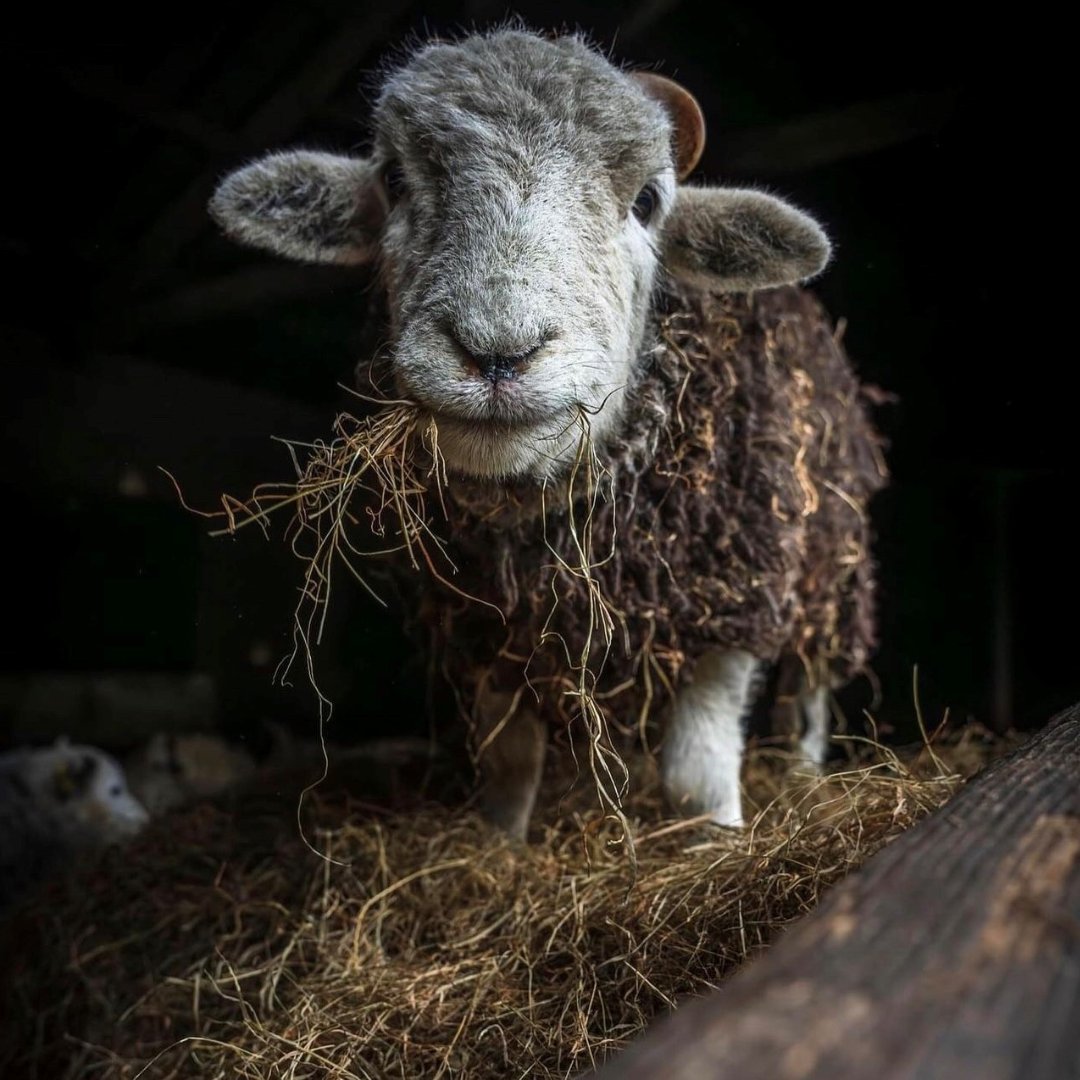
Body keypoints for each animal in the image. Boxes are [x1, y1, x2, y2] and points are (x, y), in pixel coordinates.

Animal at [208, 23, 885, 833]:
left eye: (648, 201)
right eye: (394, 182)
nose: (498, 351)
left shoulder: (731, 600)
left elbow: (696, 772)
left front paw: (717, 838)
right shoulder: (489, 630)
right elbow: (510, 764)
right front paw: (500, 839)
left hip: (832, 576)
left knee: (809, 692)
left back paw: (806, 773)